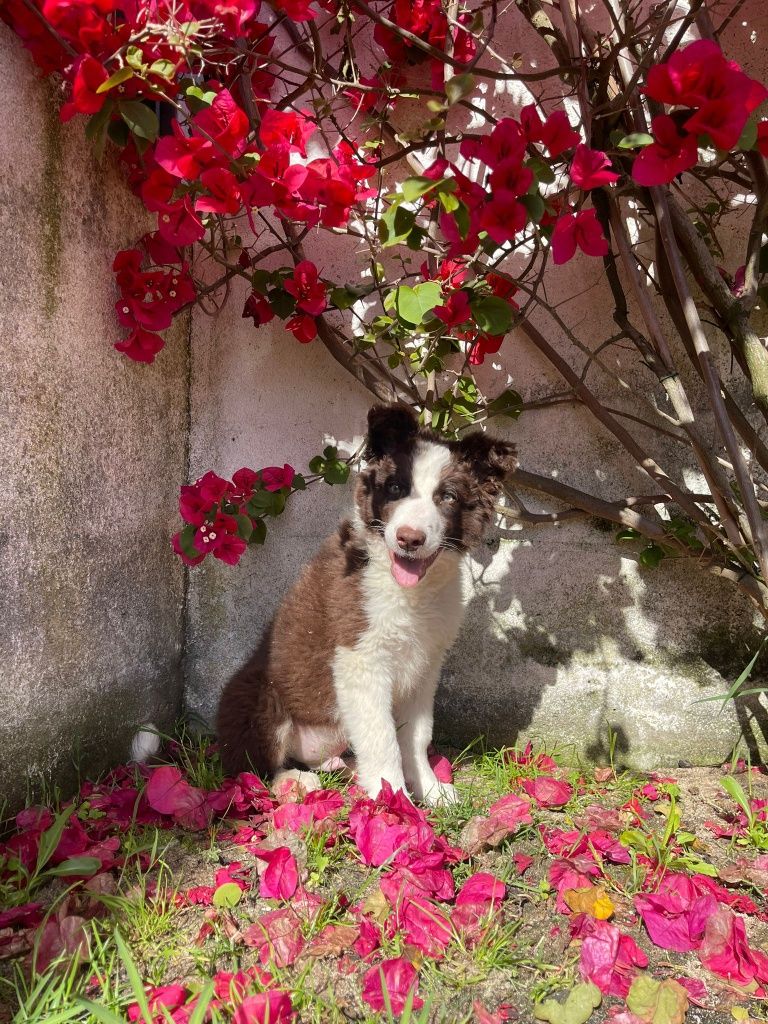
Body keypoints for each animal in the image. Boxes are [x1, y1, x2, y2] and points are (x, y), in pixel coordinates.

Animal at [217, 403, 518, 802]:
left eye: (448, 497)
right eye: (395, 488)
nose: (409, 539)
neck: (409, 590)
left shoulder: (424, 666)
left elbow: (416, 737)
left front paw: (430, 790)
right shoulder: (361, 660)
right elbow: (383, 740)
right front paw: (394, 802)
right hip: (259, 697)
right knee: (250, 765)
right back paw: (291, 781)